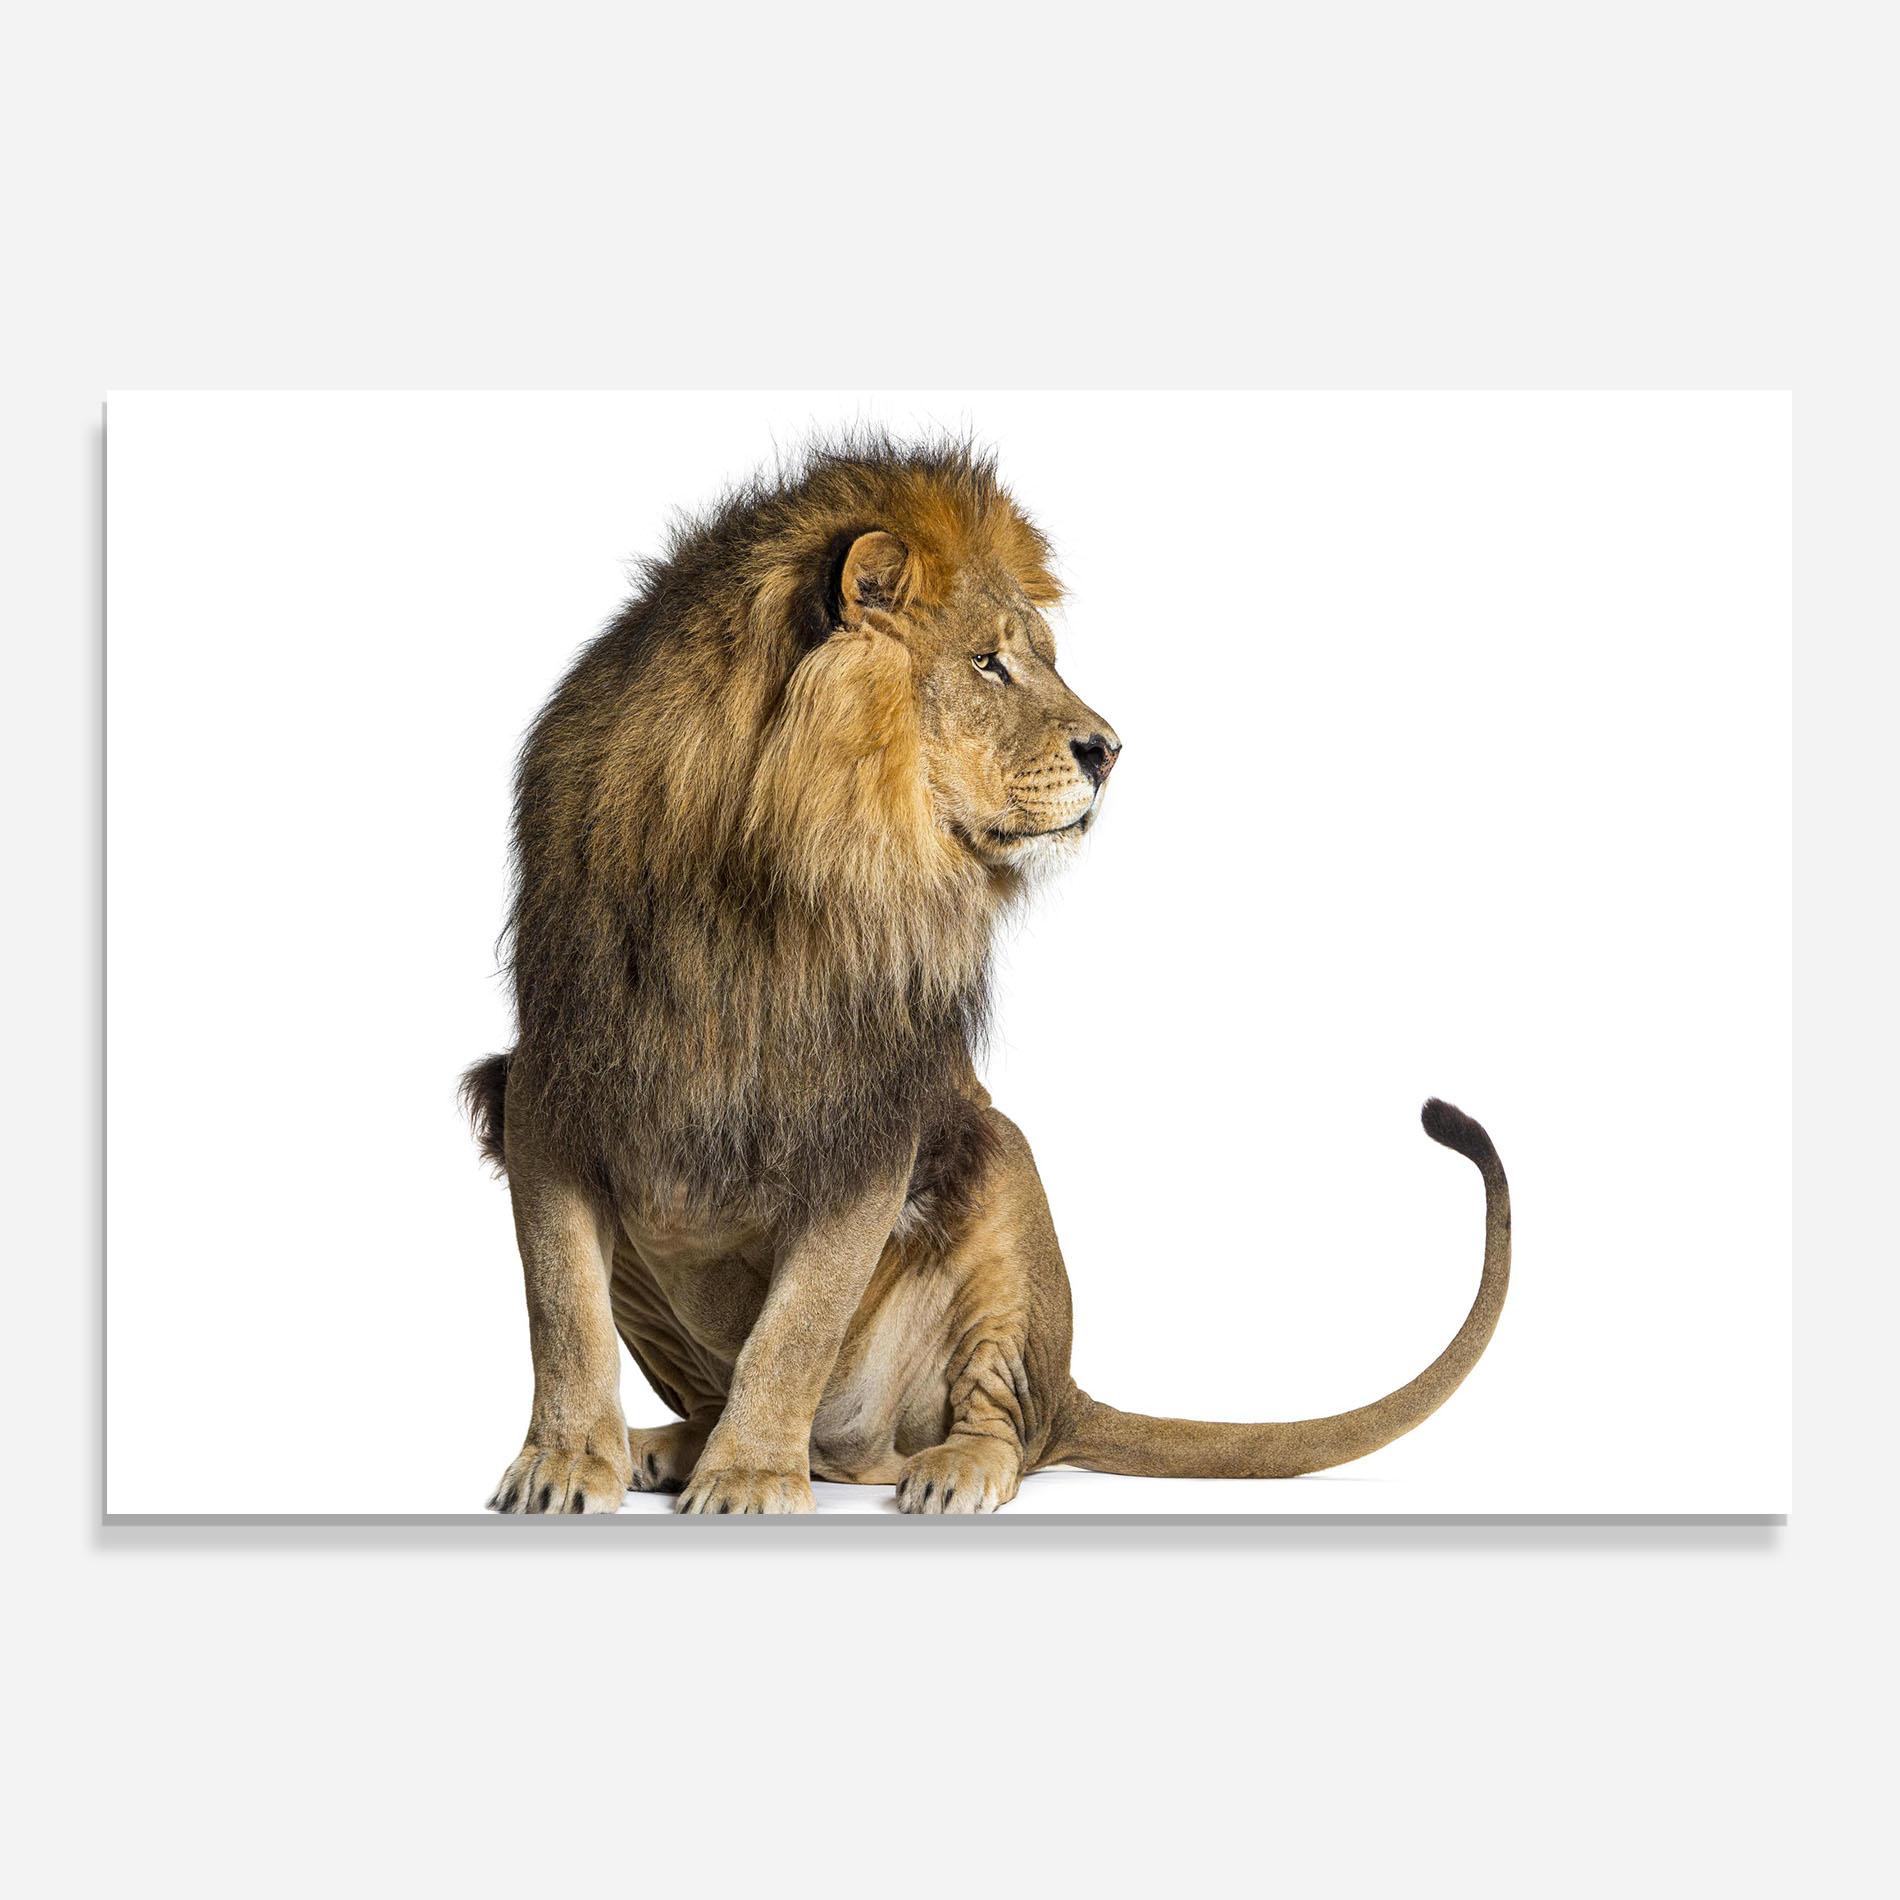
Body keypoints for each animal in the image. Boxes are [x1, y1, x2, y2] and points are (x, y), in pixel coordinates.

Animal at [464, 436, 1510, 1514]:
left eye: (1039, 657)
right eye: (988, 662)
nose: (1111, 751)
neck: (761, 878)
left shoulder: (871, 1119)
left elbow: (794, 1328)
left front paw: (750, 1475)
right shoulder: (548, 1081)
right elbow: (563, 1308)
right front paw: (565, 1462)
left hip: (998, 1170)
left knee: (999, 1419)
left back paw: (942, 1466)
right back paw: (672, 1444)